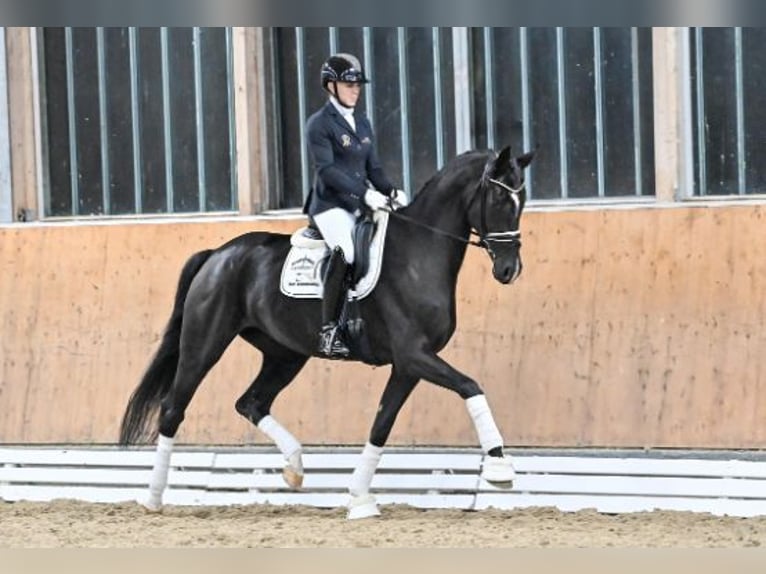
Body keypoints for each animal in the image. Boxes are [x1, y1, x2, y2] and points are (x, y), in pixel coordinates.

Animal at [121, 145, 540, 520]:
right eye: (499, 199)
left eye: (521, 200)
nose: (509, 270)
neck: (419, 254)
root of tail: (217, 254)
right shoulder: (414, 355)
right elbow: (470, 385)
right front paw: (499, 466)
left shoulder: (408, 366)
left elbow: (381, 425)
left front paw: (359, 499)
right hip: (204, 345)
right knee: (174, 408)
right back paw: (153, 498)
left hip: (285, 355)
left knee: (251, 403)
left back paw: (294, 467)